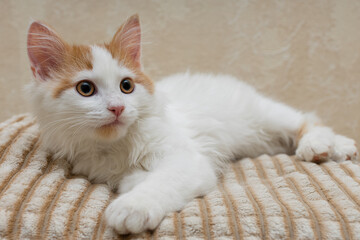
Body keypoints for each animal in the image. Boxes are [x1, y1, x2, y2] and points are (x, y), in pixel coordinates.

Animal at [25, 15, 358, 234]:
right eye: (85, 89)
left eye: (126, 86)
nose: (117, 107)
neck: (116, 145)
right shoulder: (100, 169)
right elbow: (132, 178)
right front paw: (134, 183)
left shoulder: (188, 160)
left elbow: (162, 181)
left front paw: (132, 207)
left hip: (265, 114)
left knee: (307, 119)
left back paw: (326, 145)